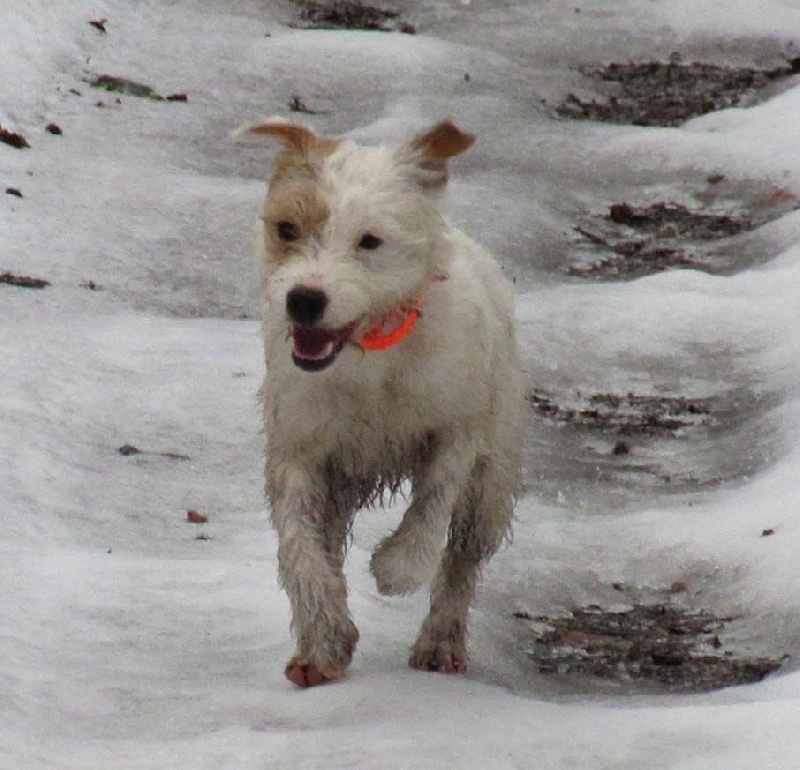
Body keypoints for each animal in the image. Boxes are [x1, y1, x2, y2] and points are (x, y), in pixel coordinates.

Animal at [236, 118, 524, 684]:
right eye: (287, 228)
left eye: (369, 241)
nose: (303, 299)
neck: (370, 354)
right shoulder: (300, 449)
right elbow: (300, 545)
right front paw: (325, 638)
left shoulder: (456, 428)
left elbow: (433, 504)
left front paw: (397, 568)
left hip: (492, 480)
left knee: (461, 559)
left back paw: (440, 641)